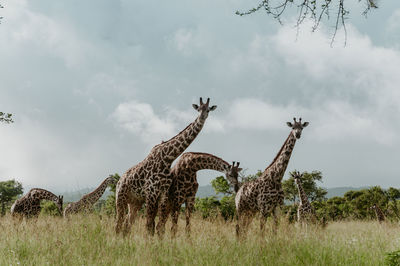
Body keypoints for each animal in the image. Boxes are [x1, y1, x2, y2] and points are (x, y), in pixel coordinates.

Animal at [114, 97, 217, 235]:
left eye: (208, 110)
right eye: (198, 109)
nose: (202, 117)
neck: (168, 158)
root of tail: (119, 181)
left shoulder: (163, 193)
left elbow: (157, 226)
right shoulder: (151, 193)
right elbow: (149, 225)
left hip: (135, 202)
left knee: (127, 224)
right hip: (121, 198)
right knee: (118, 223)